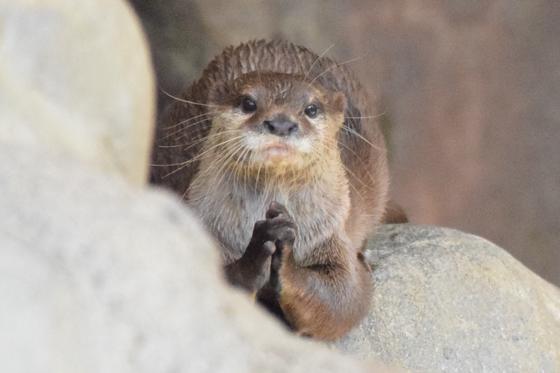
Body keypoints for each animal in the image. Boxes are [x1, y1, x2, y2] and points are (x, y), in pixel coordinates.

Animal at [151, 39, 392, 338]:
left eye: (311, 109)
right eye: (248, 103)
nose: (281, 123)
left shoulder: (328, 232)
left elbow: (345, 298)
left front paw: (286, 256)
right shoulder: (206, 225)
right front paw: (254, 256)